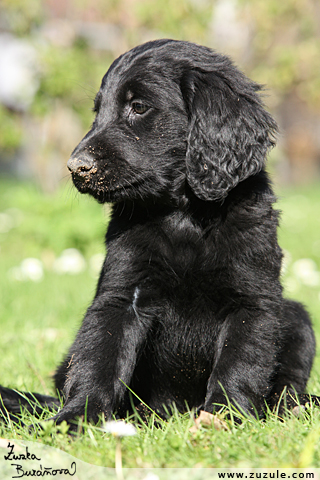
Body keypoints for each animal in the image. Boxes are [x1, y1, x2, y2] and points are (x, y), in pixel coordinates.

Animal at [1, 39, 318, 426]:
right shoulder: (122, 296)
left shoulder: (252, 299)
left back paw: (296, 405)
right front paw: (79, 418)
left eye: (138, 107)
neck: (185, 217)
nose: (76, 167)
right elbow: (100, 357)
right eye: (98, 111)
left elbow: (240, 362)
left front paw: (223, 417)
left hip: (297, 319)